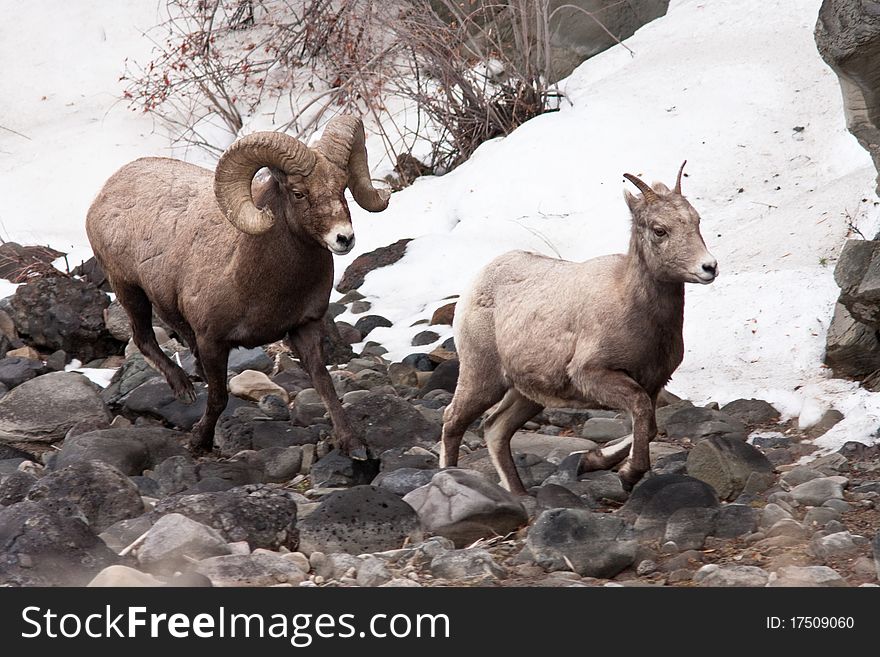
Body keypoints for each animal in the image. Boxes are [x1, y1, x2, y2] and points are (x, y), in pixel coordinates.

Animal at [87, 115, 388, 456]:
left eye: (342, 186)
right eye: (298, 193)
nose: (344, 238)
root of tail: (108, 189)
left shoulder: (305, 328)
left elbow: (325, 384)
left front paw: (354, 445)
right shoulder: (212, 341)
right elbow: (219, 398)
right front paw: (199, 441)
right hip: (128, 289)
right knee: (143, 338)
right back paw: (185, 390)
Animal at [438, 163, 716, 492]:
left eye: (696, 221)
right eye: (659, 230)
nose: (709, 267)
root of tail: (477, 282)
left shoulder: (653, 384)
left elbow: (648, 427)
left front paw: (589, 461)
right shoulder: (593, 374)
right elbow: (642, 415)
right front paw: (627, 474)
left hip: (526, 393)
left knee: (495, 428)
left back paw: (518, 494)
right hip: (482, 377)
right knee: (453, 421)